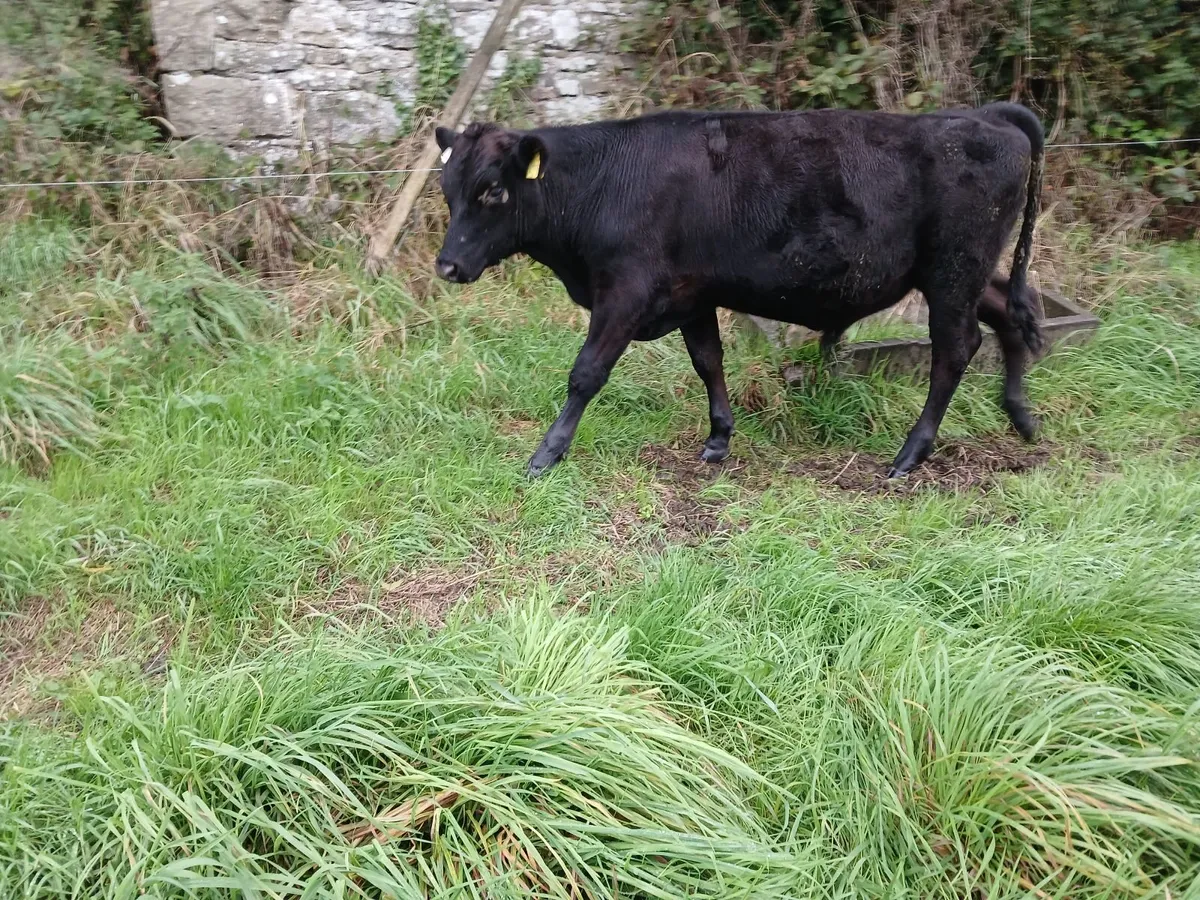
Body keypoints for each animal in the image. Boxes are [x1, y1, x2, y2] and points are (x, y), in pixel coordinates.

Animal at [432, 102, 1045, 479]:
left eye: (493, 191)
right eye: (448, 189)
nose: (447, 265)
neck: (603, 182)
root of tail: (985, 116)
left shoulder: (627, 292)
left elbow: (586, 373)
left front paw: (547, 453)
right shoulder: (691, 294)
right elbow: (709, 362)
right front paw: (719, 439)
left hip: (951, 271)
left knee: (955, 350)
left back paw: (911, 453)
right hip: (960, 274)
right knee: (1011, 314)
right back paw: (1021, 417)